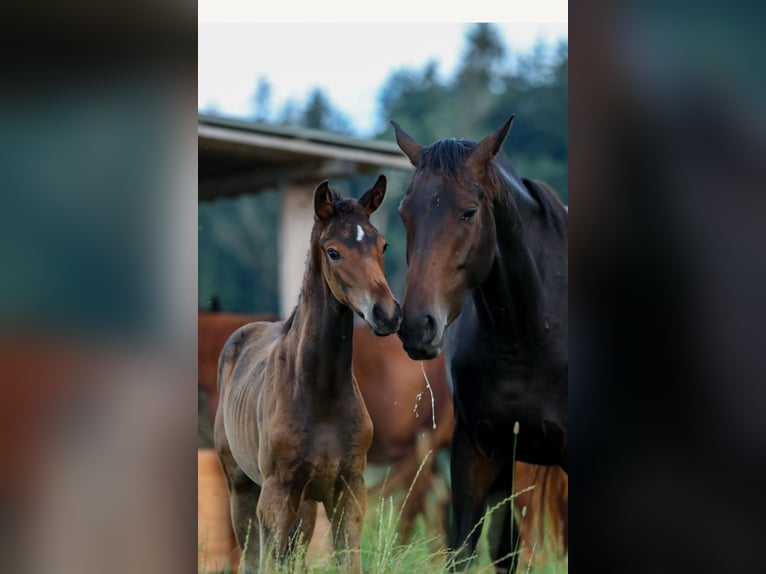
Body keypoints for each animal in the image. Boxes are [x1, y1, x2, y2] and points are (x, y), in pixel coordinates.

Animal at [212, 177, 402, 574]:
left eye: (383, 244)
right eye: (333, 252)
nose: (387, 314)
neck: (320, 394)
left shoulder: (349, 488)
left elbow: (348, 561)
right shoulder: (276, 493)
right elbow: (268, 562)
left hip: (307, 503)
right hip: (242, 488)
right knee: (252, 558)